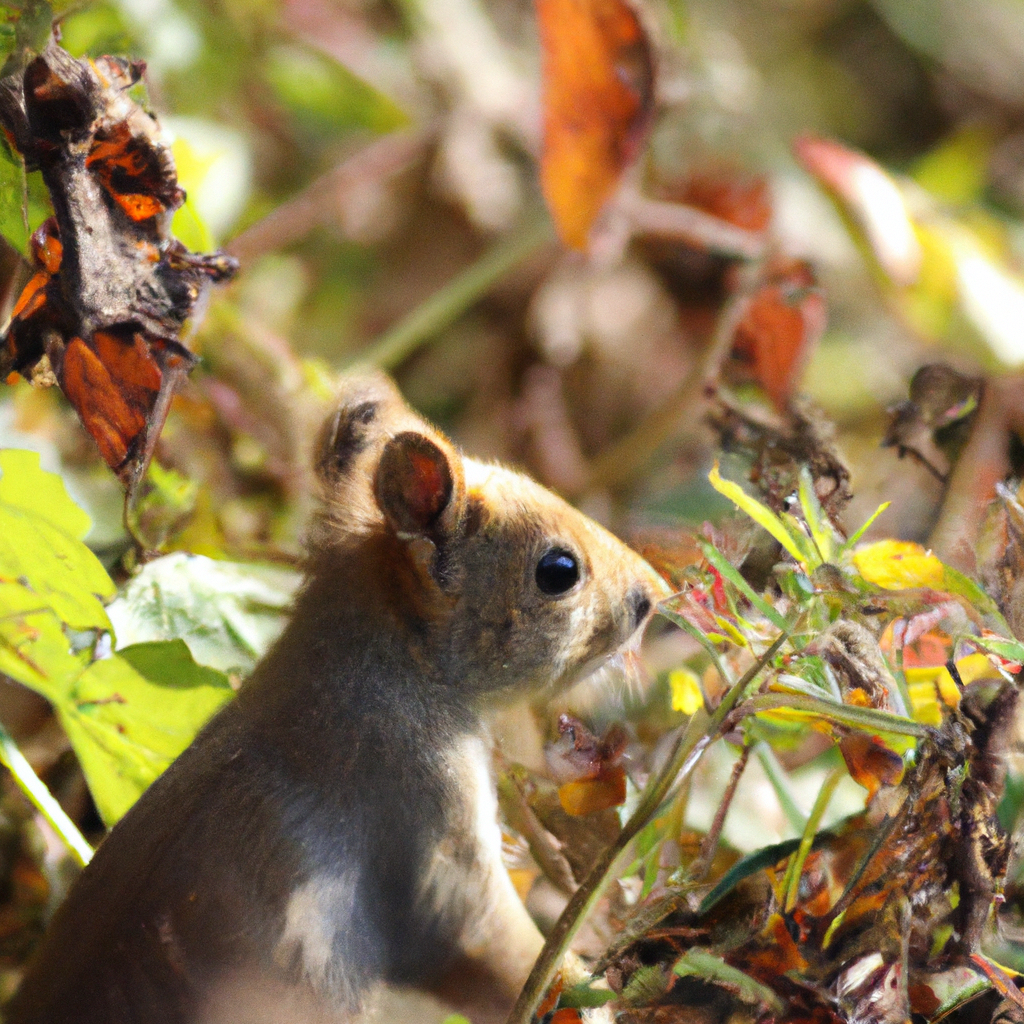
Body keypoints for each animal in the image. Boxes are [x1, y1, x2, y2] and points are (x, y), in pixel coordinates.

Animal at [6, 376, 663, 1024]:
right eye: (558, 571)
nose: (652, 595)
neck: (386, 670)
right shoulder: (419, 812)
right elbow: (492, 949)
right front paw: (591, 988)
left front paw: (584, 754)